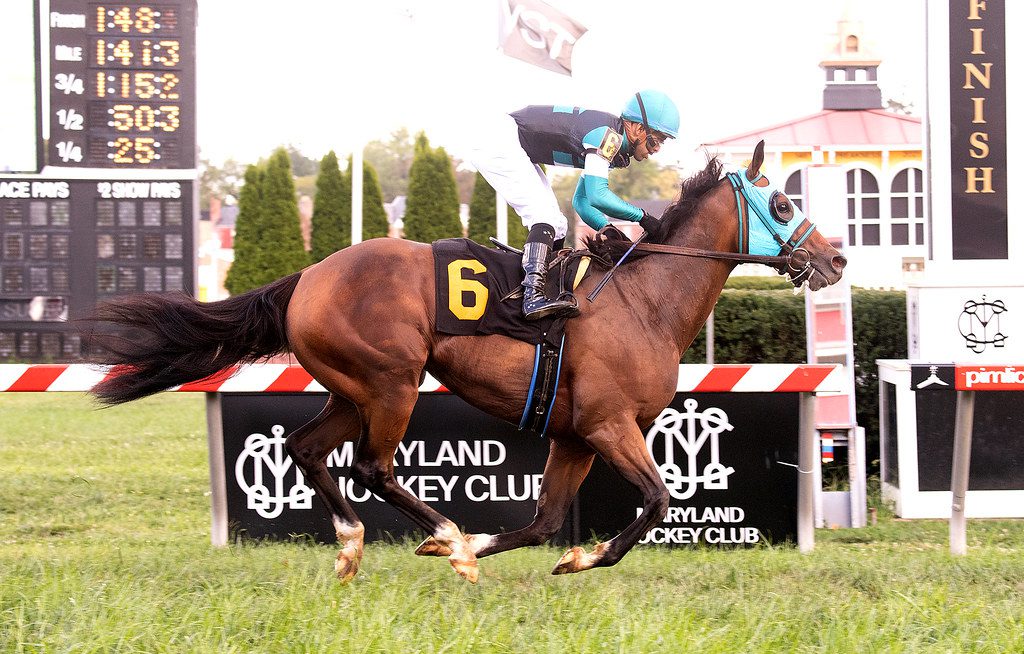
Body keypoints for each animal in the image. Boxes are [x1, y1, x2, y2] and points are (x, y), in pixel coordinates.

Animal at [88, 142, 843, 581]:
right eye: (781, 202)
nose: (835, 257)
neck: (643, 301)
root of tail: (306, 276)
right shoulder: (608, 425)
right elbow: (657, 499)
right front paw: (575, 555)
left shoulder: (575, 437)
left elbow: (543, 523)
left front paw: (528, 551)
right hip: (392, 382)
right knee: (371, 468)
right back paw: (444, 535)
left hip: (351, 388)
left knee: (306, 449)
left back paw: (354, 544)